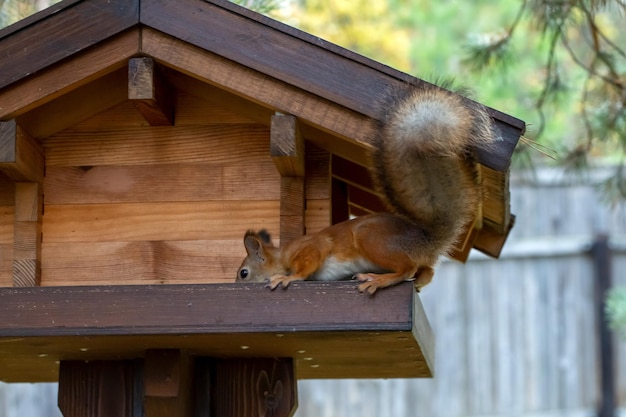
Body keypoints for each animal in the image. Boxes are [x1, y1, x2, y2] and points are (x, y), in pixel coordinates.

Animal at [236, 83, 494, 292]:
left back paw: (377, 280)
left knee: (408, 269)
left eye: (243, 273)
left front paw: (287, 278)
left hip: (371, 239)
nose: (235, 282)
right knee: (426, 271)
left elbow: (307, 266)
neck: (282, 256)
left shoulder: (311, 247)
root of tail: (427, 241)